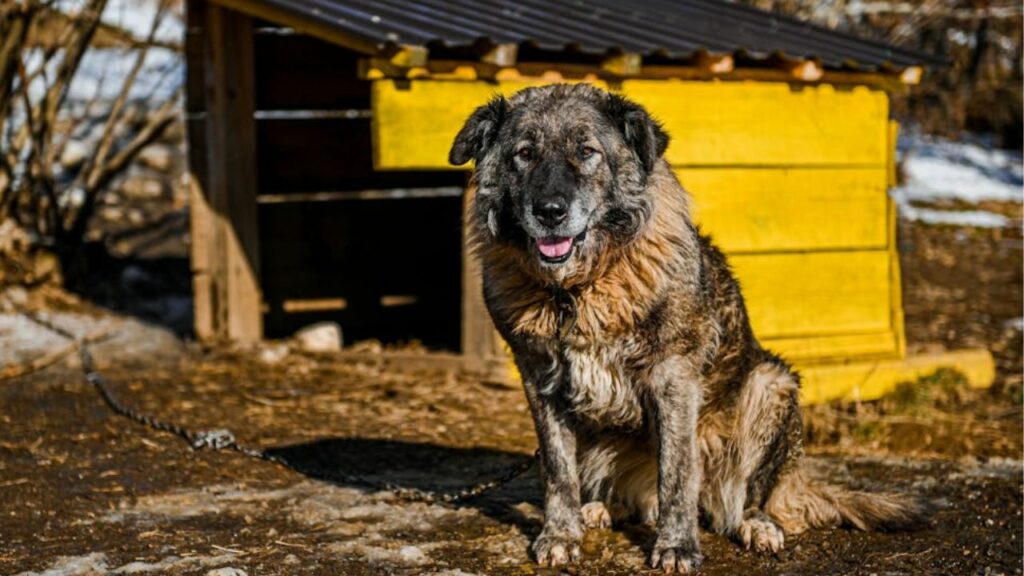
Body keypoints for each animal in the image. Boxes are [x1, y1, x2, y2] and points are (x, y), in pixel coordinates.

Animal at [448, 83, 929, 569]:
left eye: (587, 152)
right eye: (524, 154)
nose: (549, 211)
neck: (578, 290)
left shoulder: (673, 377)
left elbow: (678, 474)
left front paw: (676, 545)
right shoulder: (541, 381)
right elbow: (557, 471)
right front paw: (560, 534)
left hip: (770, 385)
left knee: (746, 497)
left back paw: (756, 524)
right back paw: (602, 507)